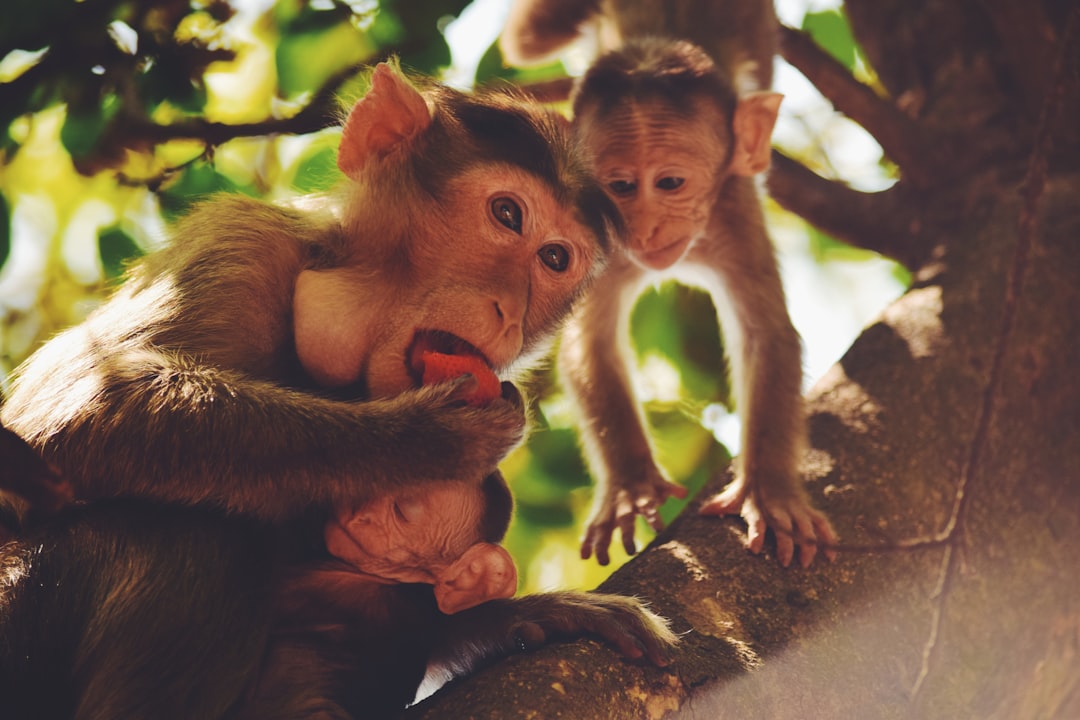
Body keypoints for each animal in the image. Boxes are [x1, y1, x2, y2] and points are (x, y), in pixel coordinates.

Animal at [0, 60, 617, 524]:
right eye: (508, 214)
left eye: (555, 258)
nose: (509, 313)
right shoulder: (237, 246)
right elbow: (82, 399)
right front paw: (425, 439)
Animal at [501, 2, 838, 569]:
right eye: (619, 186)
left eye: (670, 183)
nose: (645, 227)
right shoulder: (592, 232)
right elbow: (592, 343)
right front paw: (631, 487)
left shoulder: (734, 208)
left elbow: (766, 336)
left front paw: (768, 493)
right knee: (528, 39)